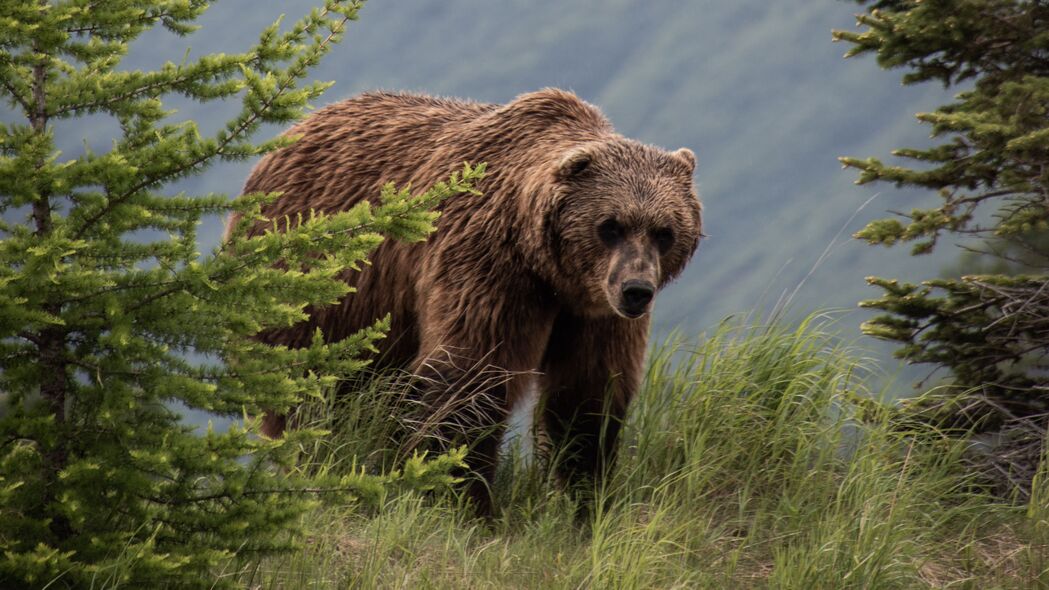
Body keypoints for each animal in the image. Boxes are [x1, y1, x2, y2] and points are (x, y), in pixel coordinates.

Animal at [229, 88, 704, 514]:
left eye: (664, 231)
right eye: (611, 225)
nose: (636, 290)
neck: (548, 269)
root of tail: (289, 134)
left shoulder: (593, 312)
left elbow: (588, 394)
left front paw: (583, 498)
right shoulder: (488, 267)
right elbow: (470, 378)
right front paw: (462, 499)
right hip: (316, 290)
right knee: (313, 393)